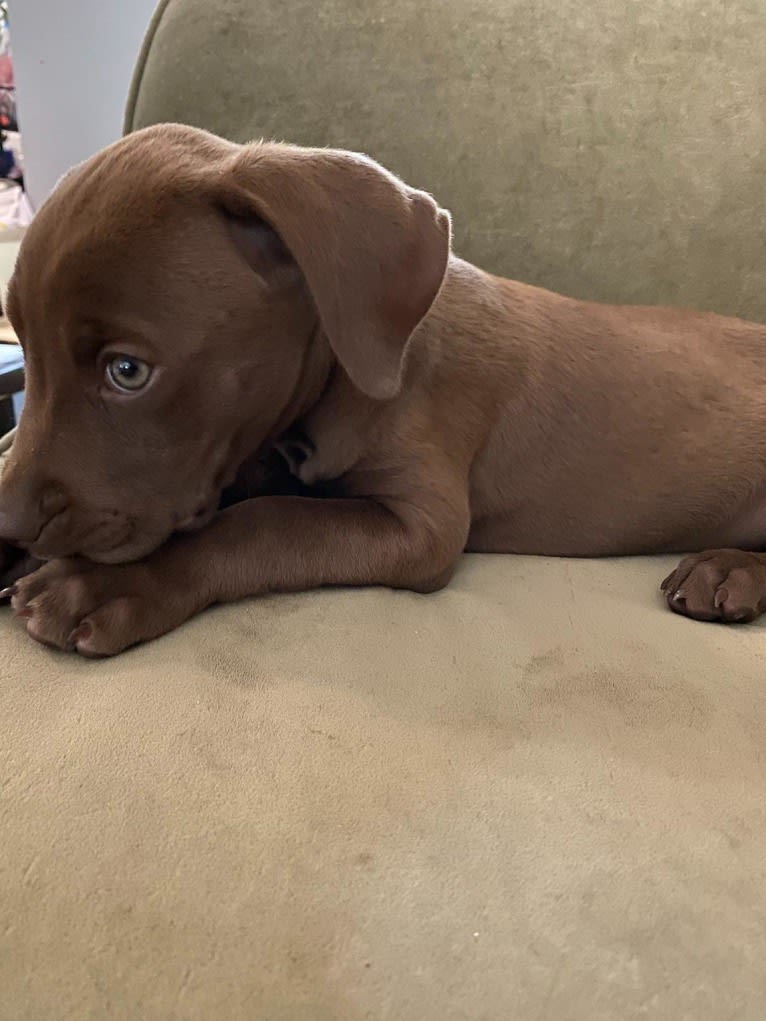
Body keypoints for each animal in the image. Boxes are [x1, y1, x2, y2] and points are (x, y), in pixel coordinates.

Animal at [1, 125, 766, 653]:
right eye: (27, 352)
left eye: (127, 370)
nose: (7, 521)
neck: (341, 381)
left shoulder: (421, 523)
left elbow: (264, 521)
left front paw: (103, 584)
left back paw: (726, 573)